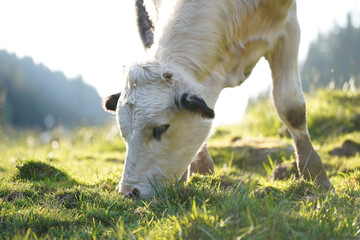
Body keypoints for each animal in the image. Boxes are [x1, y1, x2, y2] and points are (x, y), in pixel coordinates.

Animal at [103, 0, 332, 198]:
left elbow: (290, 106)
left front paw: (315, 174)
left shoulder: (288, 28)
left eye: (160, 128)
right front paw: (200, 171)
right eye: (124, 134)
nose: (128, 191)